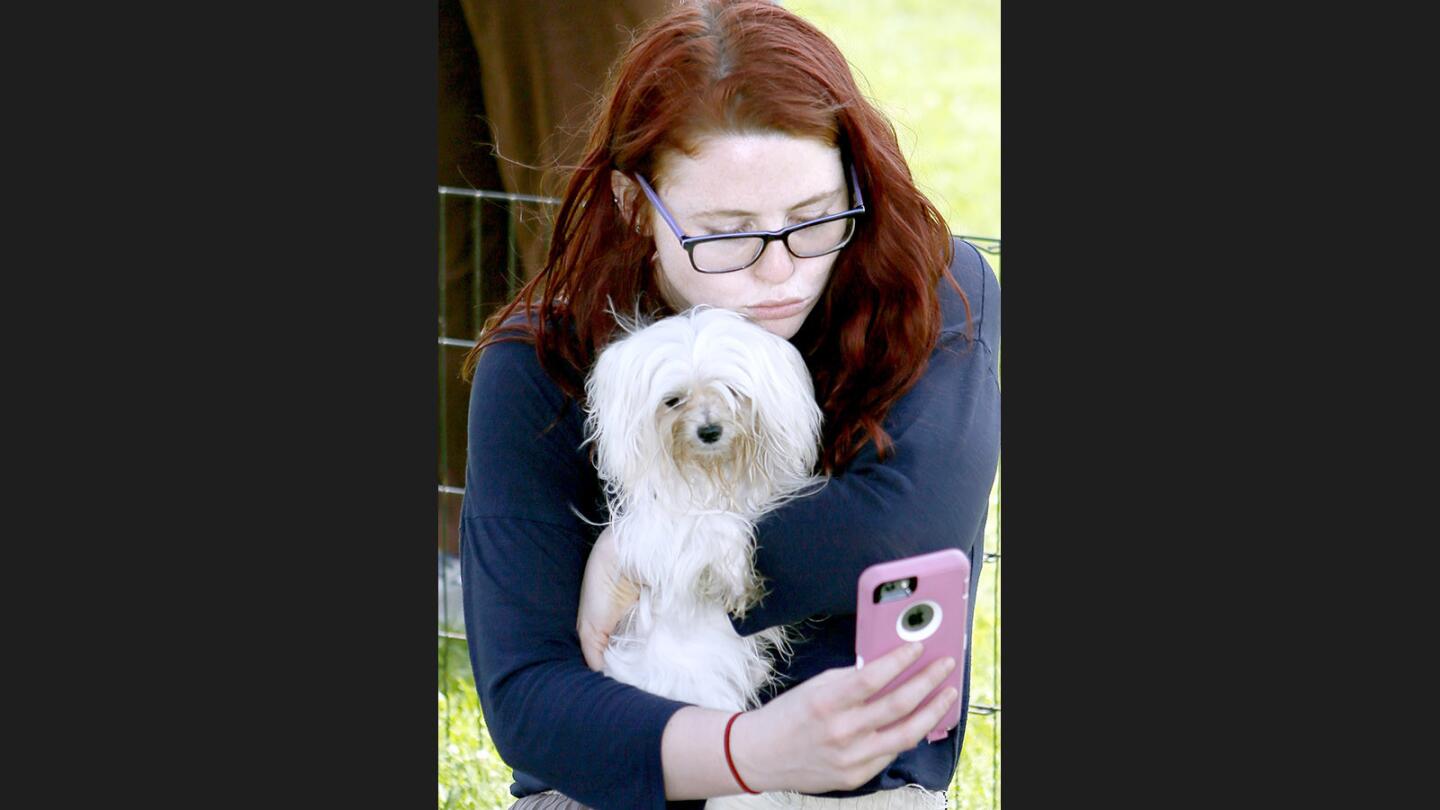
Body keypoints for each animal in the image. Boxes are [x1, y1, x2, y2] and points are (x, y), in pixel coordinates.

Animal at [584, 305, 829, 714]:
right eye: (672, 401)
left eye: (732, 391)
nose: (710, 431)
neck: (713, 473)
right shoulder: (659, 535)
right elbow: (715, 527)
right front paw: (737, 580)